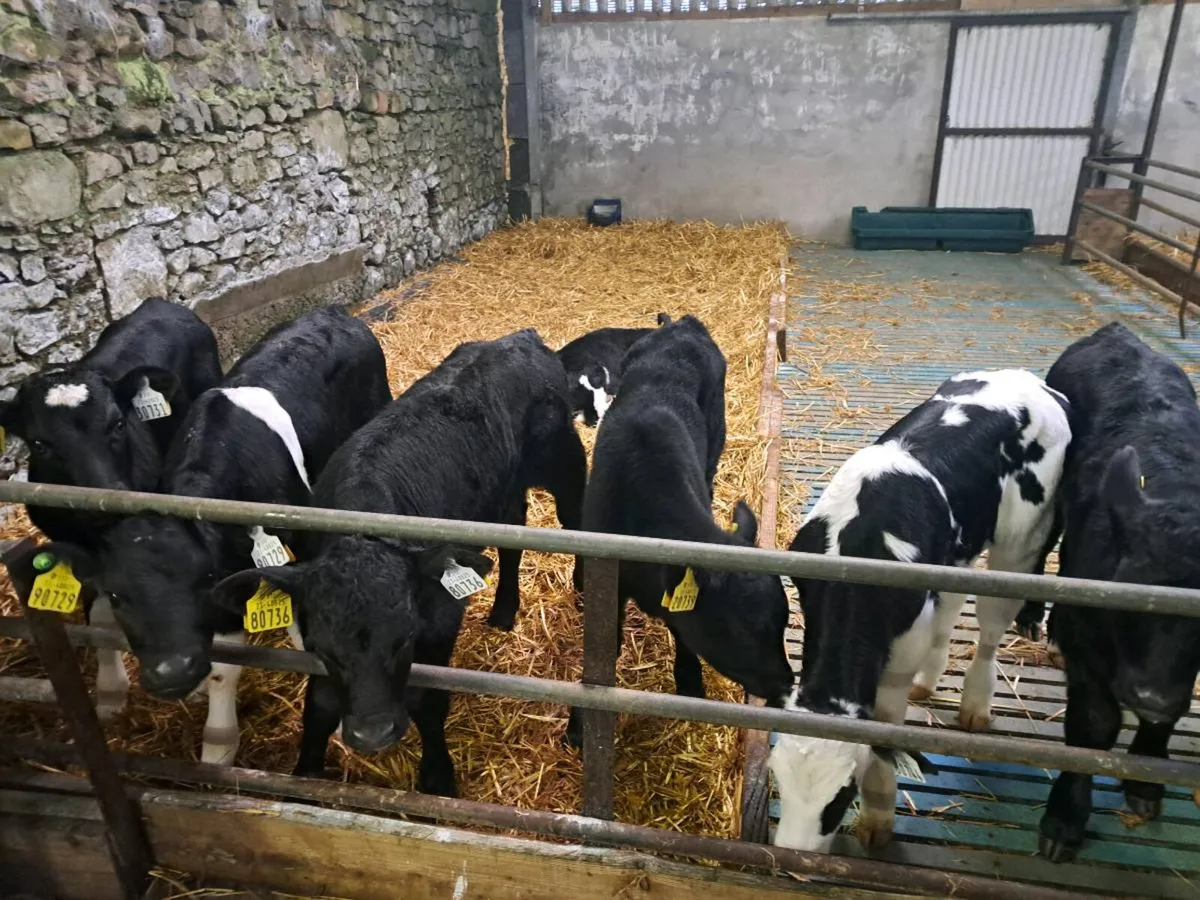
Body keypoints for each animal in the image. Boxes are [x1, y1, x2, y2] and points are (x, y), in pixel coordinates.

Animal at [38, 306, 390, 765]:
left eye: (203, 581)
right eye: (116, 595)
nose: (173, 670)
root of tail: (333, 313)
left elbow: (230, 664)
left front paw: (218, 746)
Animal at [207, 328, 587, 794]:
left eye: (405, 638)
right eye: (324, 649)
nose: (373, 734)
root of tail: (519, 338)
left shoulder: (440, 615)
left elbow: (428, 699)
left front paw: (438, 777)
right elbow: (319, 703)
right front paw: (307, 772)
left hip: (564, 462)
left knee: (579, 521)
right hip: (502, 494)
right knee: (513, 538)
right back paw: (503, 611)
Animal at [564, 315, 793, 748]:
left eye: (784, 621)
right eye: (741, 628)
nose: (785, 688)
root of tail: (681, 324)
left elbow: (684, 634)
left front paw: (690, 683)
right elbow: (600, 652)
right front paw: (578, 727)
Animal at [772, 368, 1070, 853]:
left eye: (841, 799)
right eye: (778, 781)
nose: (792, 858)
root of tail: (1030, 380)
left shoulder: (899, 657)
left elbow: (885, 735)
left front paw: (878, 816)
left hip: (1021, 544)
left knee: (990, 628)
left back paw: (975, 705)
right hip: (957, 558)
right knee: (951, 608)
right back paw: (930, 681)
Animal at [1037, 322, 1200, 863]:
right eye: (1129, 595)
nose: (1150, 697)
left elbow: (1167, 718)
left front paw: (1147, 782)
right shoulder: (1084, 635)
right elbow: (1094, 724)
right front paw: (1064, 822)